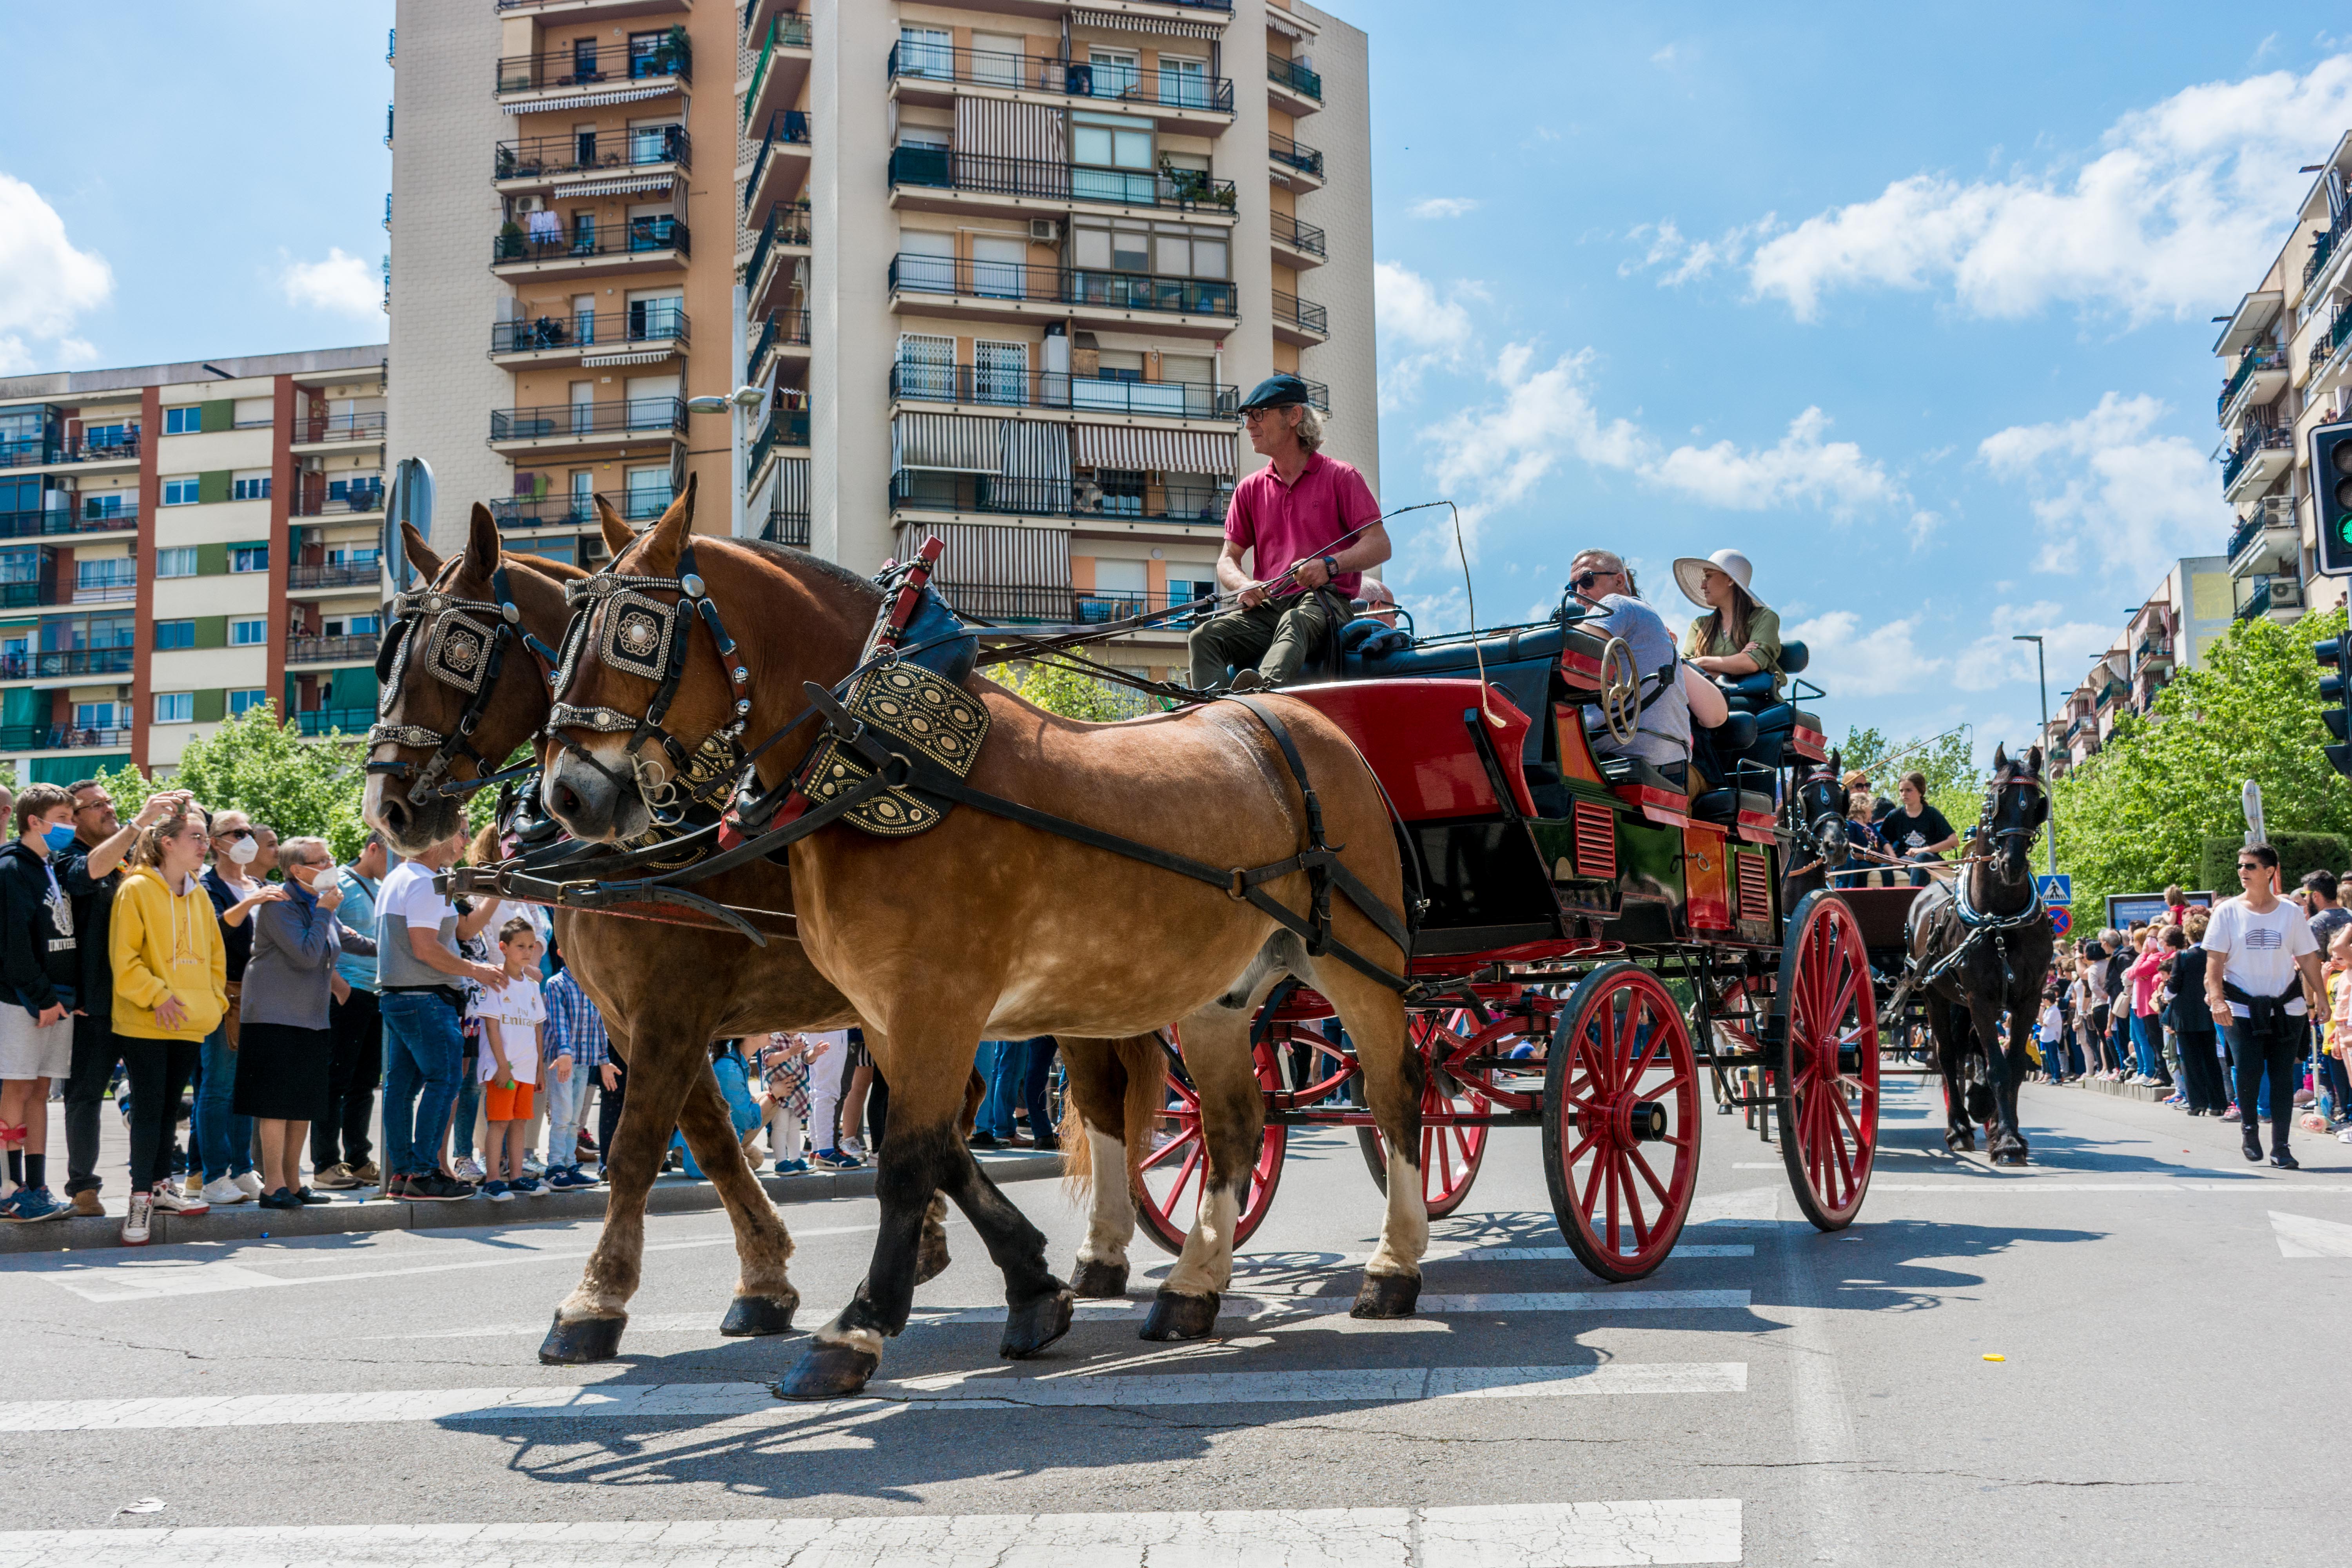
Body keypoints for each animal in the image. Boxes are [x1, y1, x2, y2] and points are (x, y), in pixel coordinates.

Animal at [539, 484, 1411, 1392]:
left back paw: (1392, 1267)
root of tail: (1291, 716)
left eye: (636, 633)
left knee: (1397, 1098)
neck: (882, 758)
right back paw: (1192, 1286)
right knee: (1233, 1127)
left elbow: (904, 1159)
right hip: (1218, 996)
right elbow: (934, 1145)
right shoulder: (875, 1013)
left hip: (1364, 967)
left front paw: (855, 1327)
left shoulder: (927, 1003)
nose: (566, 796)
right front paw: (1030, 1290)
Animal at [1900, 748, 2051, 1166]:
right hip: (1935, 995)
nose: (2012, 865)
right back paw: (1959, 1129)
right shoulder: (1981, 998)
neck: (2000, 918)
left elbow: (2011, 1066)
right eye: (1996, 798)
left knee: (1970, 1051)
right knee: (1949, 1055)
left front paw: (2007, 1133)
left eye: (2036, 802)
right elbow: (1996, 1066)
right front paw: (2008, 1143)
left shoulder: (2028, 998)